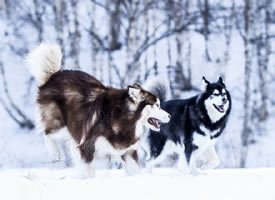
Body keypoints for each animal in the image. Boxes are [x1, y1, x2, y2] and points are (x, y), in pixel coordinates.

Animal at [25, 43, 171, 177]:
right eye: (157, 105)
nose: (170, 116)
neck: (125, 117)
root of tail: (54, 75)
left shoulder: (127, 150)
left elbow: (135, 171)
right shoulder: (88, 147)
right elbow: (89, 172)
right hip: (59, 125)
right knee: (47, 133)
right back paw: (55, 152)